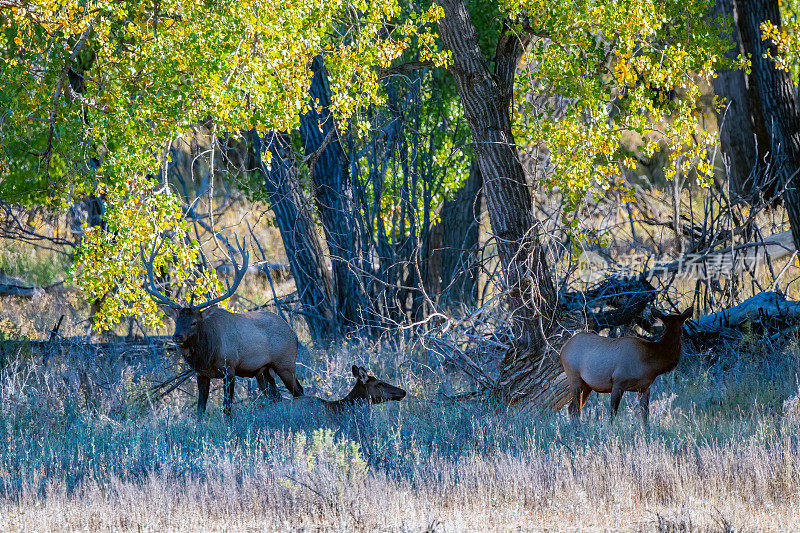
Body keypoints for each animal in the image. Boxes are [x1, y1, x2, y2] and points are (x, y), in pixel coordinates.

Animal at [141, 239, 304, 418]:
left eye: (194, 322)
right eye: (176, 320)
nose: (177, 336)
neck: (206, 356)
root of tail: (294, 334)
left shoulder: (229, 368)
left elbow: (227, 409)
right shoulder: (201, 374)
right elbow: (200, 410)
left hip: (285, 362)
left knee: (298, 391)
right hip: (262, 371)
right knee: (277, 396)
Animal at [556, 306, 692, 422]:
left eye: (681, 323)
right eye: (664, 325)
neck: (651, 364)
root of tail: (563, 349)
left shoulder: (645, 387)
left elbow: (645, 415)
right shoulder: (618, 382)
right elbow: (612, 414)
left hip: (587, 385)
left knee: (573, 408)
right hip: (574, 378)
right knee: (575, 409)